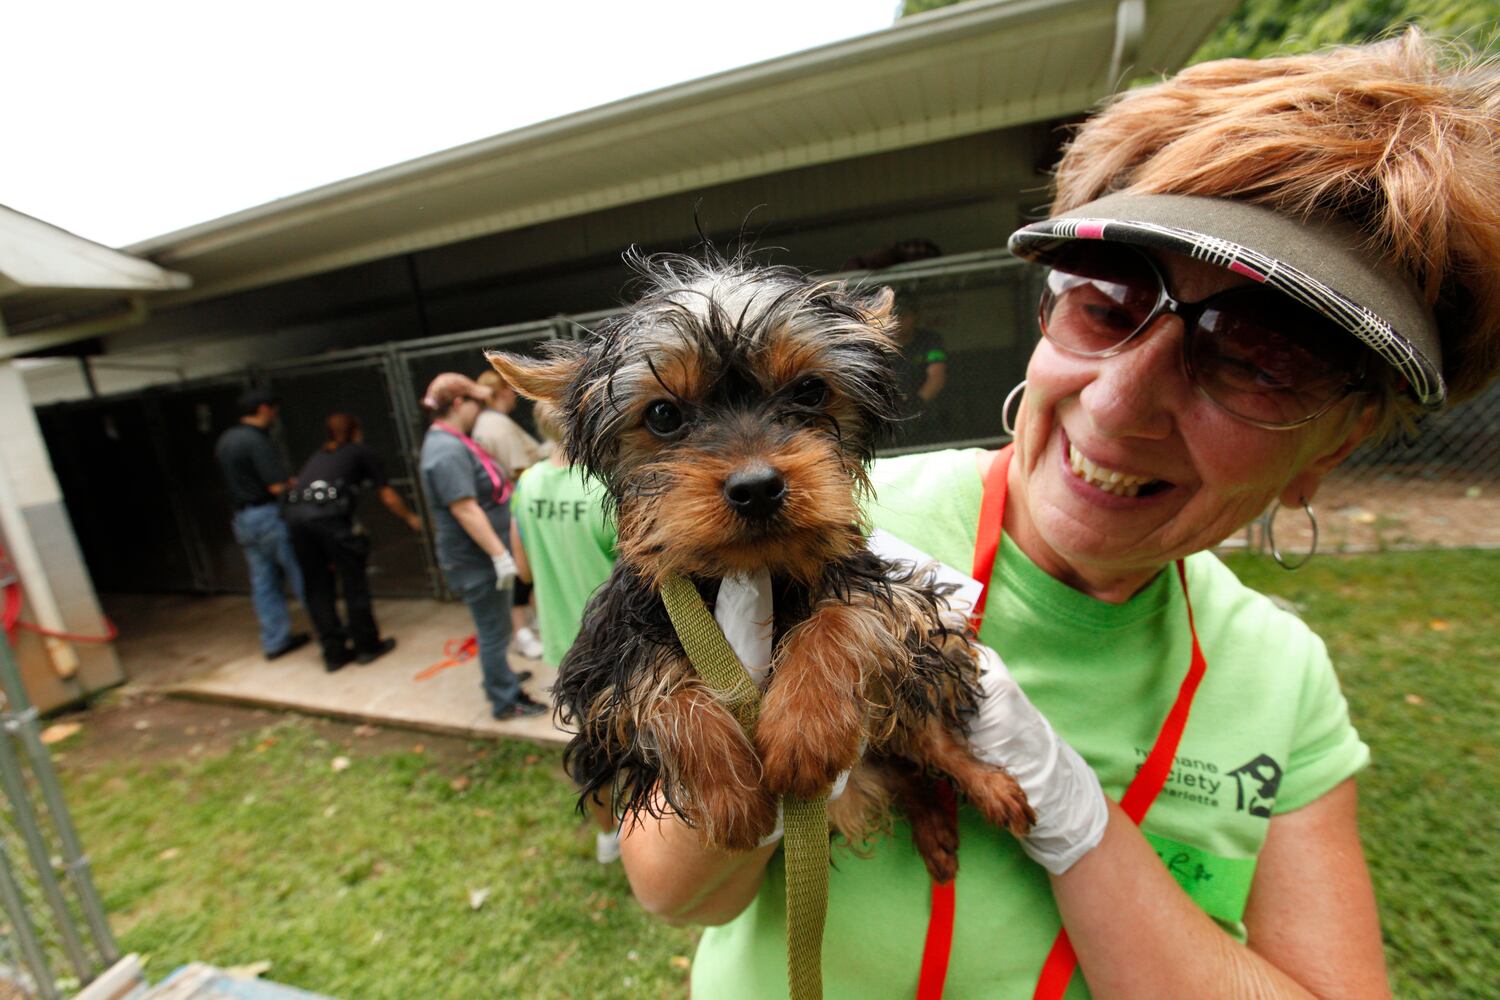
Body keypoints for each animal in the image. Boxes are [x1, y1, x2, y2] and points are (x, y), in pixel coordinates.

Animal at [492, 254, 1032, 881]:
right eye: (663, 414)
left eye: (810, 391)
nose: (756, 488)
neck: (754, 567)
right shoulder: (601, 656)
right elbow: (650, 682)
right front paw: (728, 791)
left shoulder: (900, 597)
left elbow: (853, 616)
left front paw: (804, 727)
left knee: (925, 733)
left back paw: (986, 784)